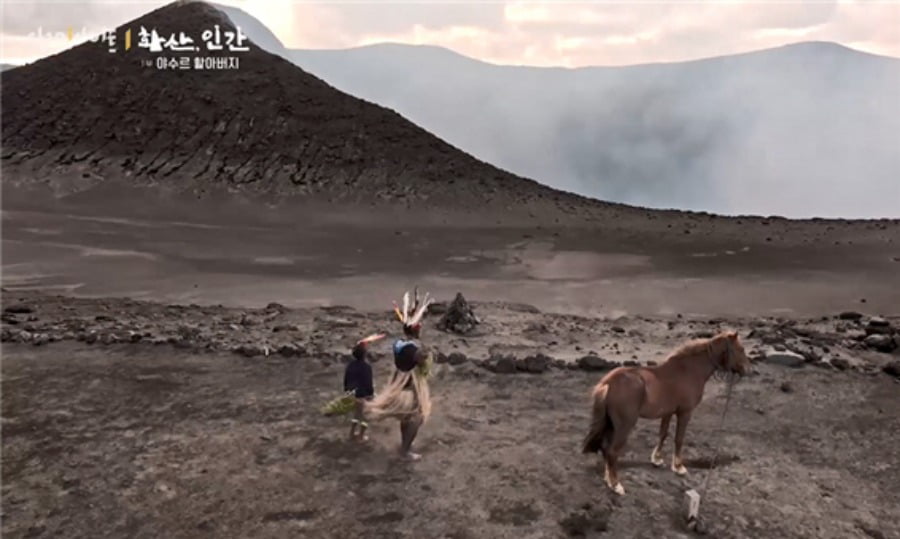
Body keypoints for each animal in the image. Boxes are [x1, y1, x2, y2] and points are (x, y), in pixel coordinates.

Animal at [580, 332, 748, 496]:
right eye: (740, 349)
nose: (747, 370)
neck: (689, 370)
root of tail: (607, 383)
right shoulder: (684, 413)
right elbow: (679, 438)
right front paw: (678, 467)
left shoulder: (667, 412)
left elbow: (663, 434)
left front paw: (657, 459)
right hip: (624, 426)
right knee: (612, 451)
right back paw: (616, 485)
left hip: (611, 425)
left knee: (605, 448)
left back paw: (608, 479)